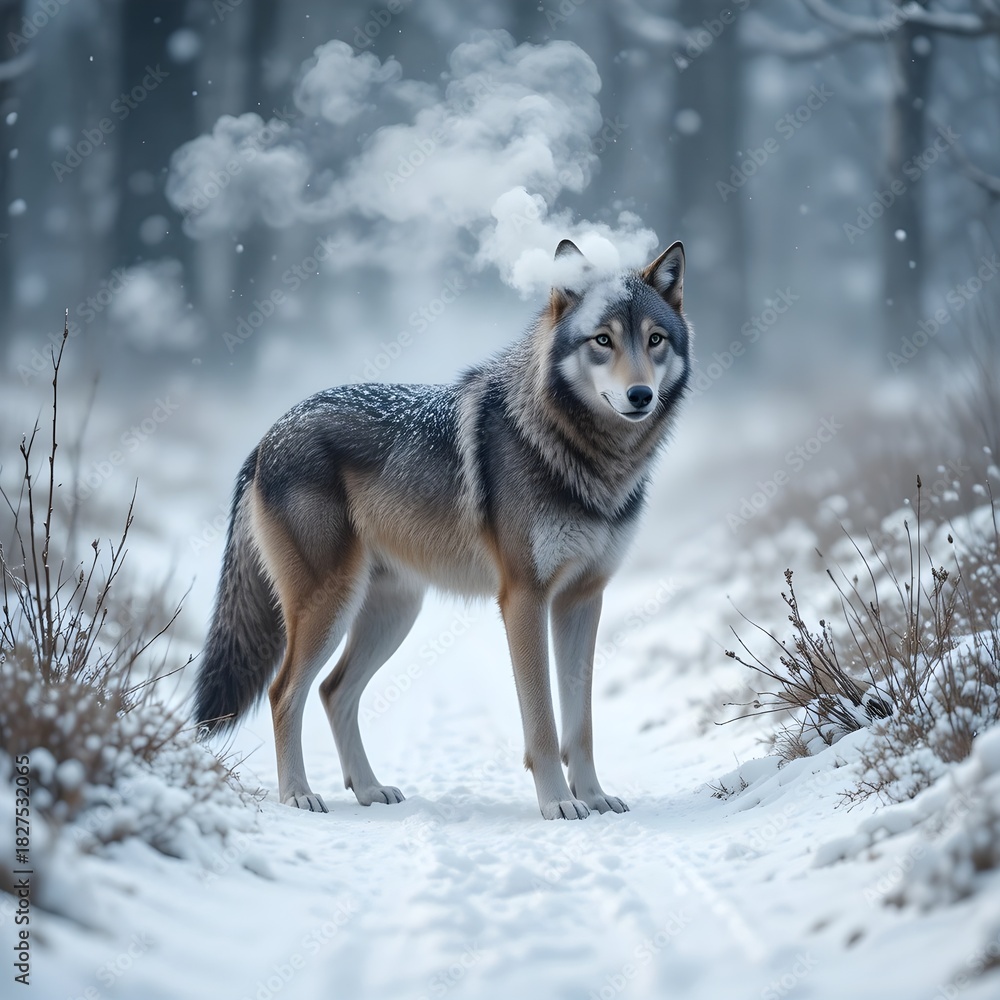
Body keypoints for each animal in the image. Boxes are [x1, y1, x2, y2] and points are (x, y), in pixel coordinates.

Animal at [194, 239, 691, 820]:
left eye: (654, 339)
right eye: (603, 340)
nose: (640, 395)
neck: (588, 458)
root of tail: (268, 435)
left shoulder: (583, 599)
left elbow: (581, 725)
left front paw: (592, 797)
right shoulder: (524, 598)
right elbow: (543, 724)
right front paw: (558, 805)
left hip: (392, 614)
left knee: (333, 691)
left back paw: (370, 790)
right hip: (330, 606)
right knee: (284, 692)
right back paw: (298, 794)